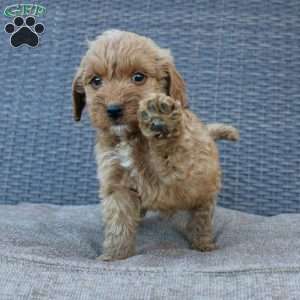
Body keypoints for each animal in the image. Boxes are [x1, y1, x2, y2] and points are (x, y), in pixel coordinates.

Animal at [72, 29, 239, 262]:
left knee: (201, 218)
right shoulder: (116, 184)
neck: (130, 137)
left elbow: (172, 150)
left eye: (138, 77)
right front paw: (115, 256)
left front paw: (161, 119)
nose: (113, 110)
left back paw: (203, 243)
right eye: (96, 81)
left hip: (205, 191)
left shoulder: (179, 174)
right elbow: (118, 224)